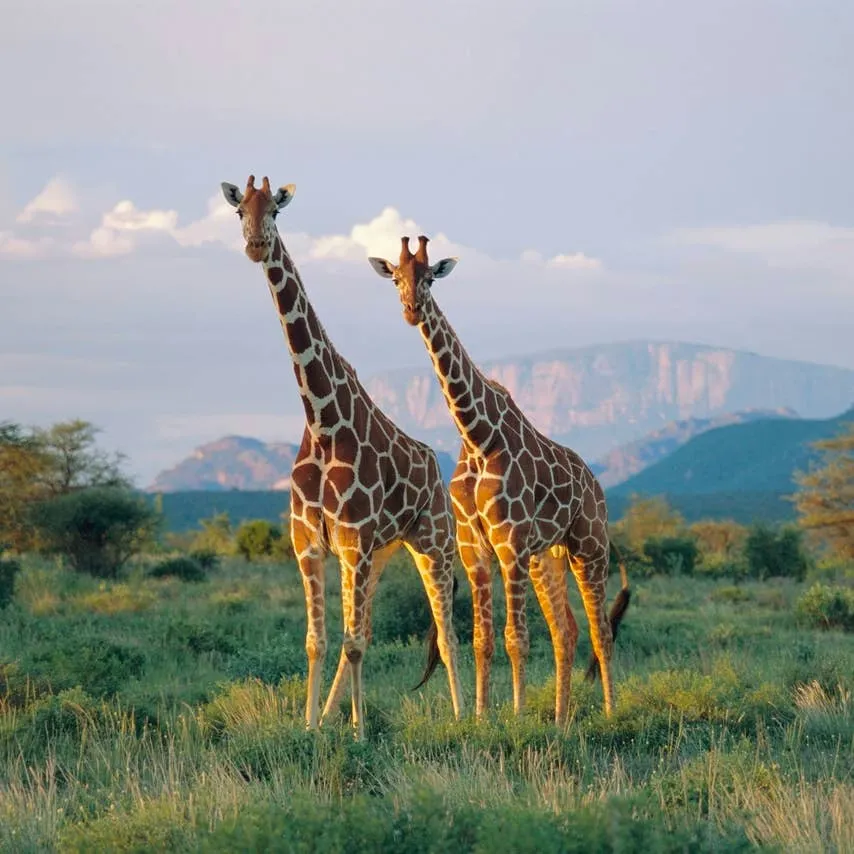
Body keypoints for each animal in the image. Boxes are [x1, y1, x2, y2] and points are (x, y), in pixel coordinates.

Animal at [221, 178, 463, 739]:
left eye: (276, 211)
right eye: (240, 210)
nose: (255, 245)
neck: (323, 421)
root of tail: (434, 465)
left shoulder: (353, 542)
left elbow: (352, 643)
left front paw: (358, 733)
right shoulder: (310, 541)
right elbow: (321, 640)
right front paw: (312, 728)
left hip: (432, 543)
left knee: (445, 633)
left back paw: (470, 716)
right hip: (381, 554)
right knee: (367, 629)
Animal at [368, 236, 630, 725]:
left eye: (430, 276)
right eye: (396, 277)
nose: (411, 309)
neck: (476, 435)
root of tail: (594, 482)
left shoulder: (510, 543)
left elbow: (516, 639)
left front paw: (518, 715)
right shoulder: (475, 548)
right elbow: (482, 639)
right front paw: (480, 715)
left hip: (589, 546)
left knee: (601, 630)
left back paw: (608, 712)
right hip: (547, 556)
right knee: (566, 630)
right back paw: (561, 720)